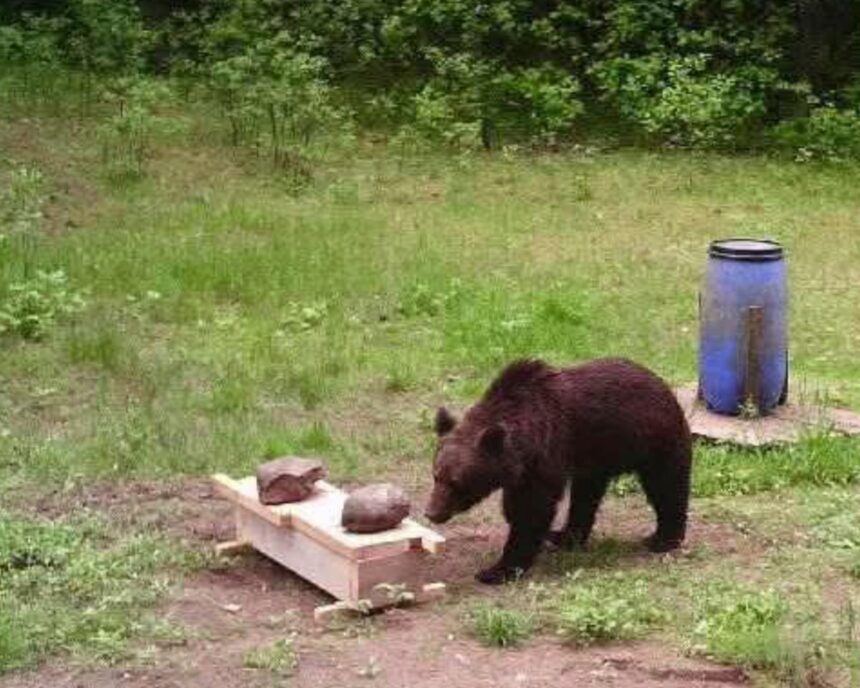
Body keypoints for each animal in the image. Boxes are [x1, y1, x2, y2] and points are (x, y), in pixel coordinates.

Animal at [424, 357, 692, 585]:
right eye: (436, 475)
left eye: (456, 482)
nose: (432, 513)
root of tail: (662, 384)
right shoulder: (523, 471)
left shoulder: (545, 456)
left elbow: (530, 510)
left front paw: (498, 570)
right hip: (595, 459)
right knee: (585, 499)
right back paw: (564, 536)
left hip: (653, 441)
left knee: (667, 486)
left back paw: (663, 538)